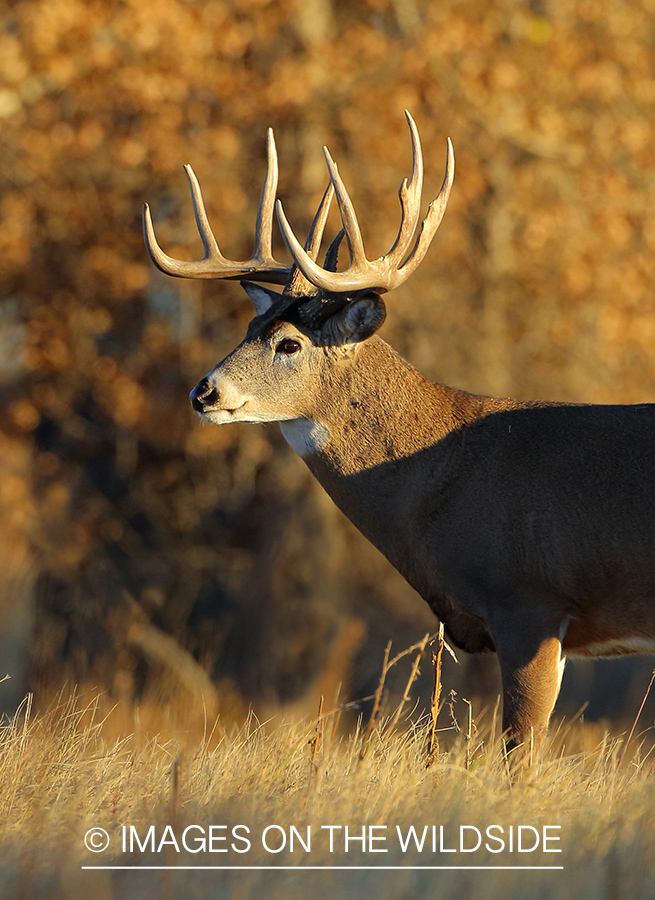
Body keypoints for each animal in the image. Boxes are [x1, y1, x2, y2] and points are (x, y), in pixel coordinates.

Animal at [145, 112, 655, 760]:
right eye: (250, 324)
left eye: (289, 343)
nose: (203, 392)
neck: (447, 476)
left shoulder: (528, 602)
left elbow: (520, 755)